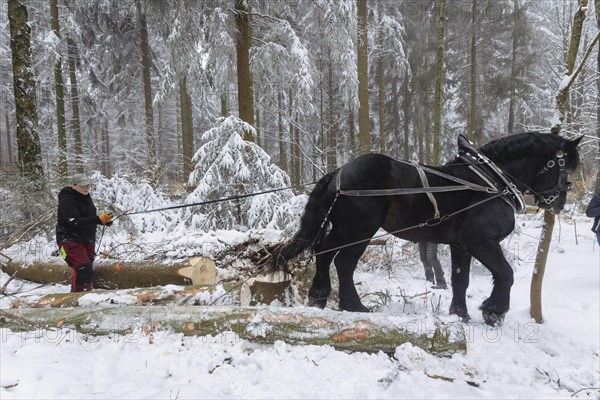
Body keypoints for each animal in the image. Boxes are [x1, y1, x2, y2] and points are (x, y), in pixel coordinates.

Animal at [274, 133, 580, 326]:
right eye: (565, 168)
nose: (560, 202)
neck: (492, 182)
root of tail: (339, 172)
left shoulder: (460, 245)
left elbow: (460, 280)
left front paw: (460, 314)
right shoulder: (481, 241)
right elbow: (506, 274)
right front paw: (494, 312)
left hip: (344, 228)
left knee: (324, 252)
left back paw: (319, 296)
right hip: (360, 229)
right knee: (343, 262)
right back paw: (353, 305)